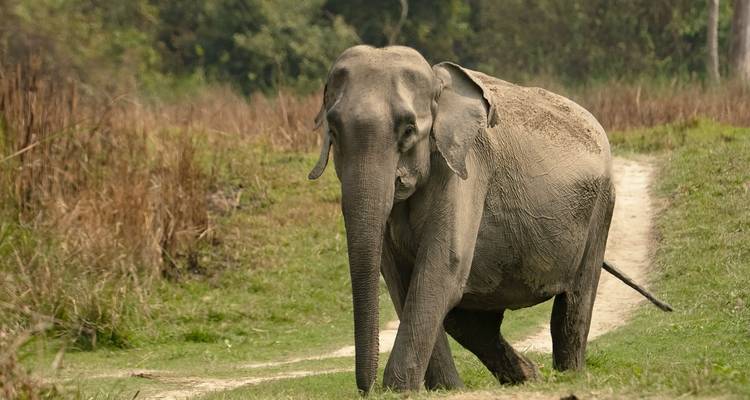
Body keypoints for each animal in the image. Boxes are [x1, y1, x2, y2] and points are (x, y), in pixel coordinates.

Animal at [308, 45, 672, 393]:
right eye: (333, 131)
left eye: (409, 131)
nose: (366, 389)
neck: (438, 85)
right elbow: (401, 277)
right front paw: (446, 389)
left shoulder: (466, 166)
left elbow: (442, 266)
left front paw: (400, 389)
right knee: (469, 321)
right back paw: (528, 377)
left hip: (600, 208)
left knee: (573, 304)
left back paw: (568, 376)